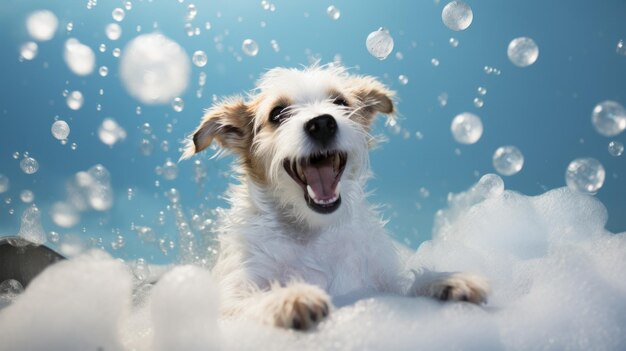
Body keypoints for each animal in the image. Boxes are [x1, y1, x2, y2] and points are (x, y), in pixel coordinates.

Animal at [180, 64, 488, 332]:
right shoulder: (231, 295)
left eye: (340, 103)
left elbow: (409, 286)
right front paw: (289, 297)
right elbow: (248, 301)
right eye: (278, 113)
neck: (313, 232)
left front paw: (446, 280)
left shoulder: (381, 284)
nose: (322, 123)